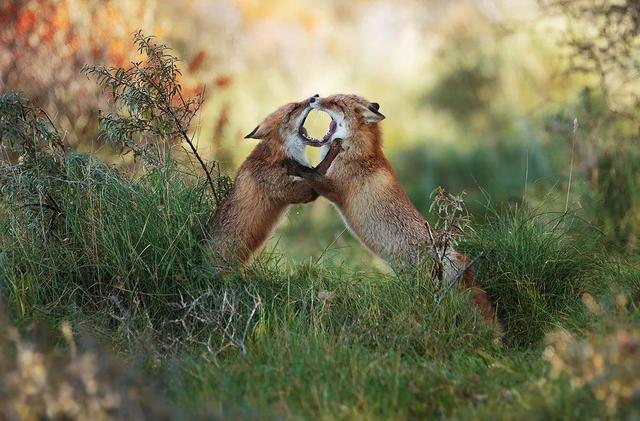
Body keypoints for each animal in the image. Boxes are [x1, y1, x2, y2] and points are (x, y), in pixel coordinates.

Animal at [209, 95, 340, 264]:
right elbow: (317, 170)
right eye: (294, 108)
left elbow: (313, 171)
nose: (314, 96)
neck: (279, 156)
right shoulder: (288, 189)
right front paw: (333, 151)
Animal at [284, 93, 500, 326]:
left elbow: (311, 173)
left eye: (336, 103)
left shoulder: (333, 188)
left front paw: (295, 167)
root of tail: (459, 260)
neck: (356, 152)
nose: (314, 98)